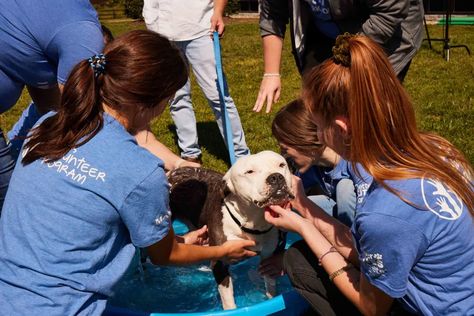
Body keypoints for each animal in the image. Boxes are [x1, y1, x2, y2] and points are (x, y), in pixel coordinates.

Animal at [167, 151, 292, 308]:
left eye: (281, 165)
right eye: (250, 172)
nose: (276, 177)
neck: (254, 223)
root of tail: (173, 172)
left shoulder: (270, 258)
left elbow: (271, 286)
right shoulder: (220, 263)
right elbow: (228, 301)